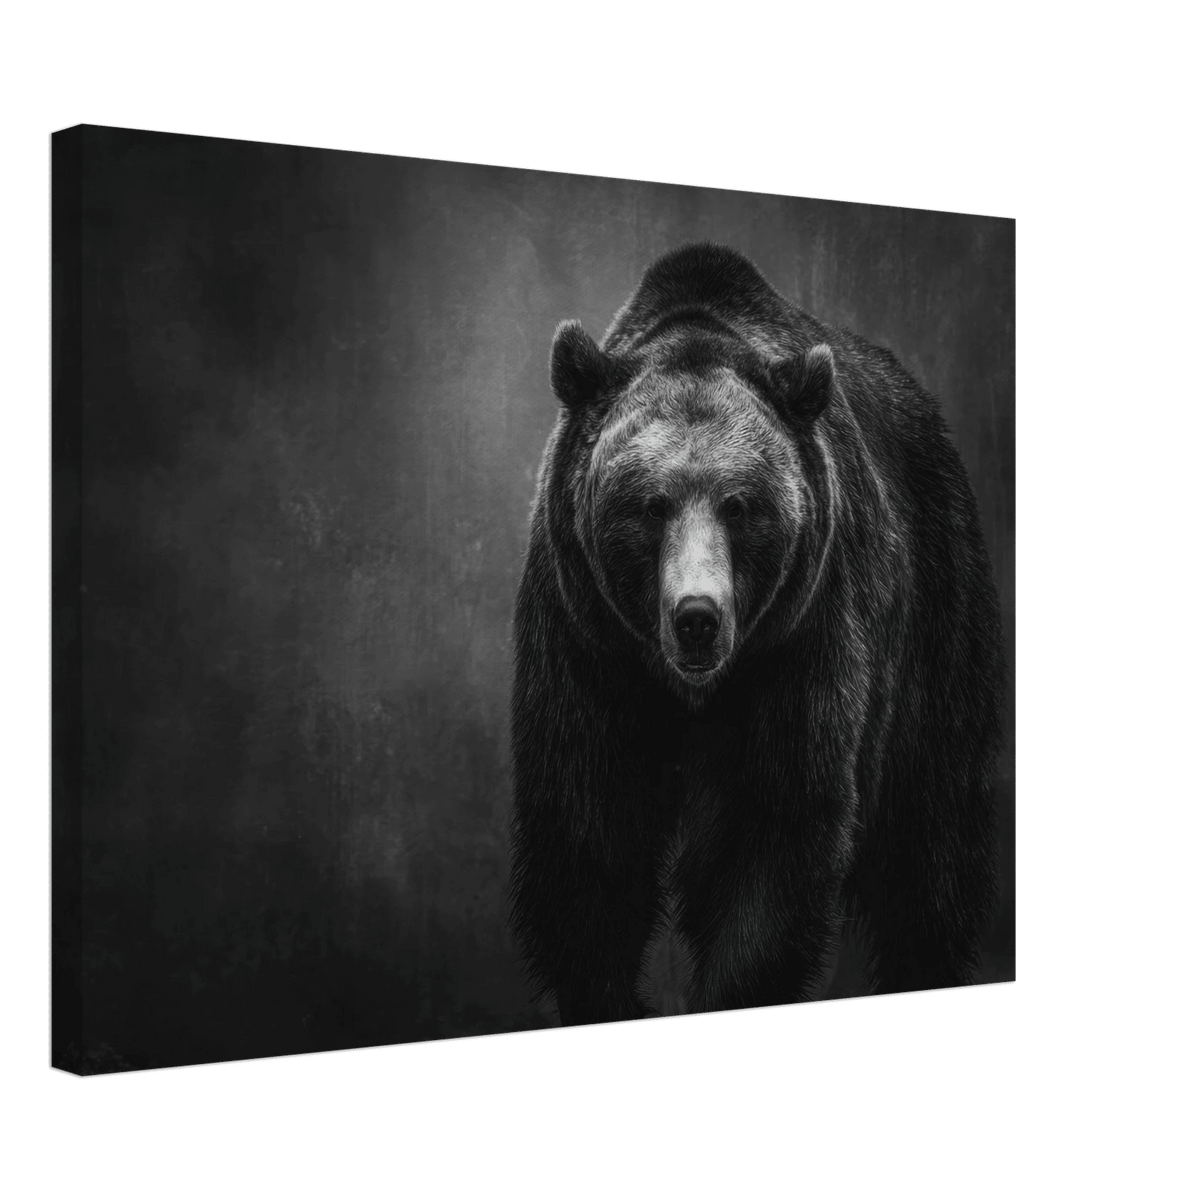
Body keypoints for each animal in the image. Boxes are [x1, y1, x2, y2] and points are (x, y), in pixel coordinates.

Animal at [508, 243, 1003, 1026]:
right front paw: (607, 993)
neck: (692, 690)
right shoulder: (586, 640)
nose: (697, 617)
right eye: (650, 505)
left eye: (740, 505)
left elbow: (774, 836)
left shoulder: (801, 639)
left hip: (939, 615)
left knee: (933, 847)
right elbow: (588, 832)